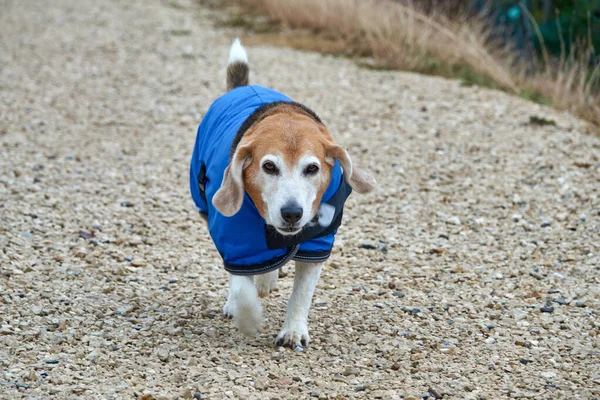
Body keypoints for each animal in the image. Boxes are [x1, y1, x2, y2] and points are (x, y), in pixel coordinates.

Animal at [188, 39, 376, 348]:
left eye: (312, 168)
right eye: (268, 166)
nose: (292, 213)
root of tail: (241, 89)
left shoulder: (318, 241)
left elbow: (301, 293)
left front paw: (293, 332)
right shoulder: (233, 236)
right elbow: (240, 284)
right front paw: (249, 318)